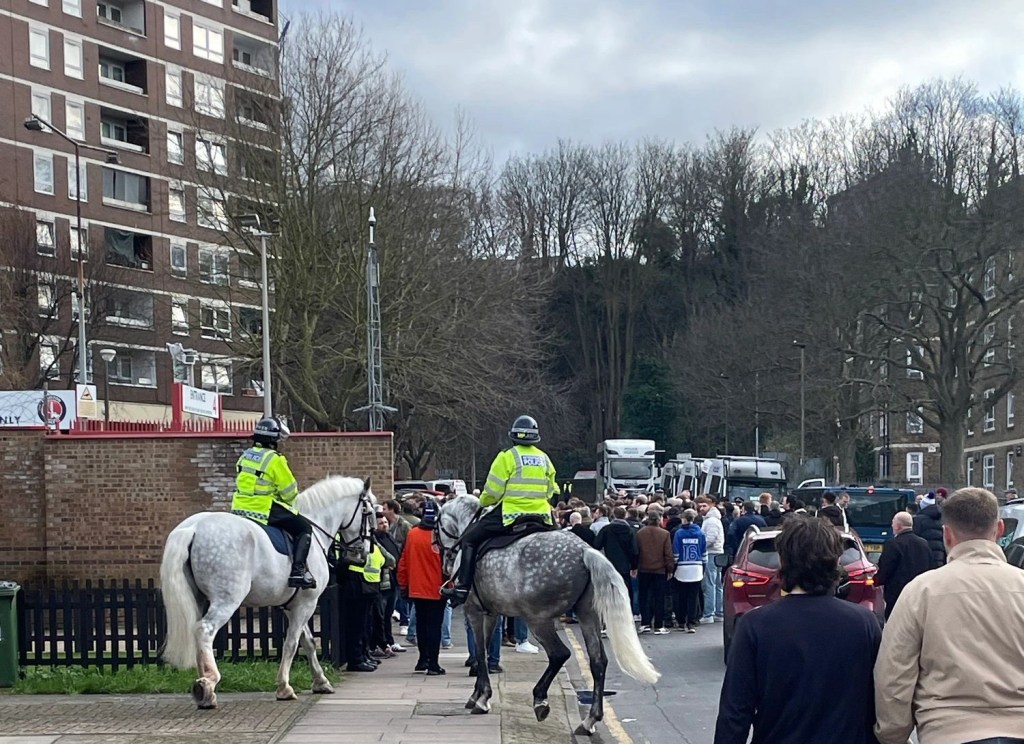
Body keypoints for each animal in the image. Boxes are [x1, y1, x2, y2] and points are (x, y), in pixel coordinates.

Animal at [160, 476, 376, 709]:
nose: (362, 555)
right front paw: (284, 687)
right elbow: (291, 643)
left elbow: (307, 641)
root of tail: (194, 527)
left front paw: (320, 681)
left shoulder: (294, 605)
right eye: (371, 513)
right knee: (204, 630)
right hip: (227, 600)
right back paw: (209, 683)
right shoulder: (307, 604)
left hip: (199, 599)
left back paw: (204, 684)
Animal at [436, 495, 659, 736]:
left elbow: (480, 650)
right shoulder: (491, 613)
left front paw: (481, 698)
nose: (445, 563)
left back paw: (540, 700)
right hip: (587, 614)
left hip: (537, 619)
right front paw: (477, 694)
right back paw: (589, 720)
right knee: (598, 661)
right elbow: (485, 648)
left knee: (560, 654)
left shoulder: (474, 610)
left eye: (436, 526)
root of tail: (585, 551)